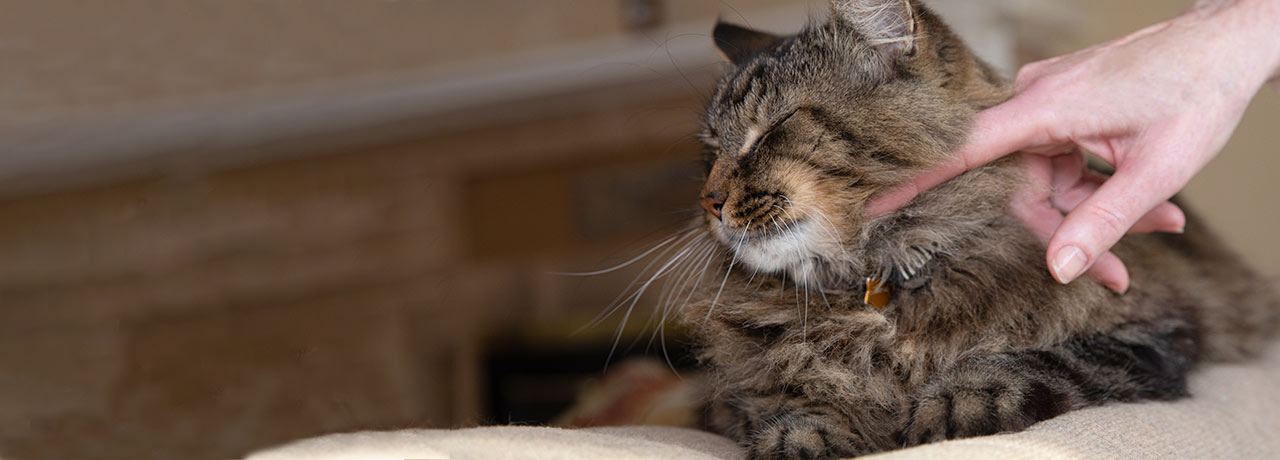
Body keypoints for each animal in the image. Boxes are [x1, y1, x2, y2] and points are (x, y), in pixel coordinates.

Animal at [670, 1, 1280, 458]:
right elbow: (789, 409)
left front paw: (945, 408)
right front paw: (807, 435)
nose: (709, 202)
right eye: (710, 152)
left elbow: (1015, 365)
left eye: (773, 129)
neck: (877, 286)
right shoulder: (731, 403)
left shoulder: (1154, 336)